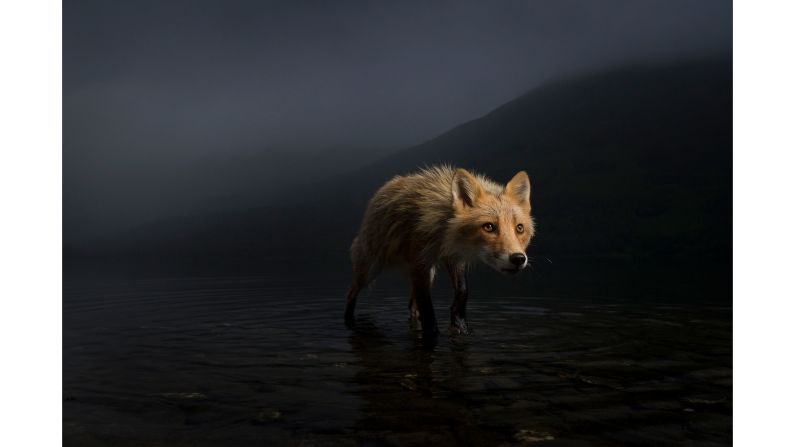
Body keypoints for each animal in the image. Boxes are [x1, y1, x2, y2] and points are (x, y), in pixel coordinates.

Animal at [344, 166, 536, 338]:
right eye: (489, 227)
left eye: (519, 228)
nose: (518, 258)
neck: (445, 233)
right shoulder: (419, 261)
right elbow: (428, 309)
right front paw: (433, 334)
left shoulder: (454, 257)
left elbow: (462, 291)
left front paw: (460, 325)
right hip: (370, 270)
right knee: (351, 292)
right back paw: (348, 322)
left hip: (428, 274)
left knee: (412, 305)